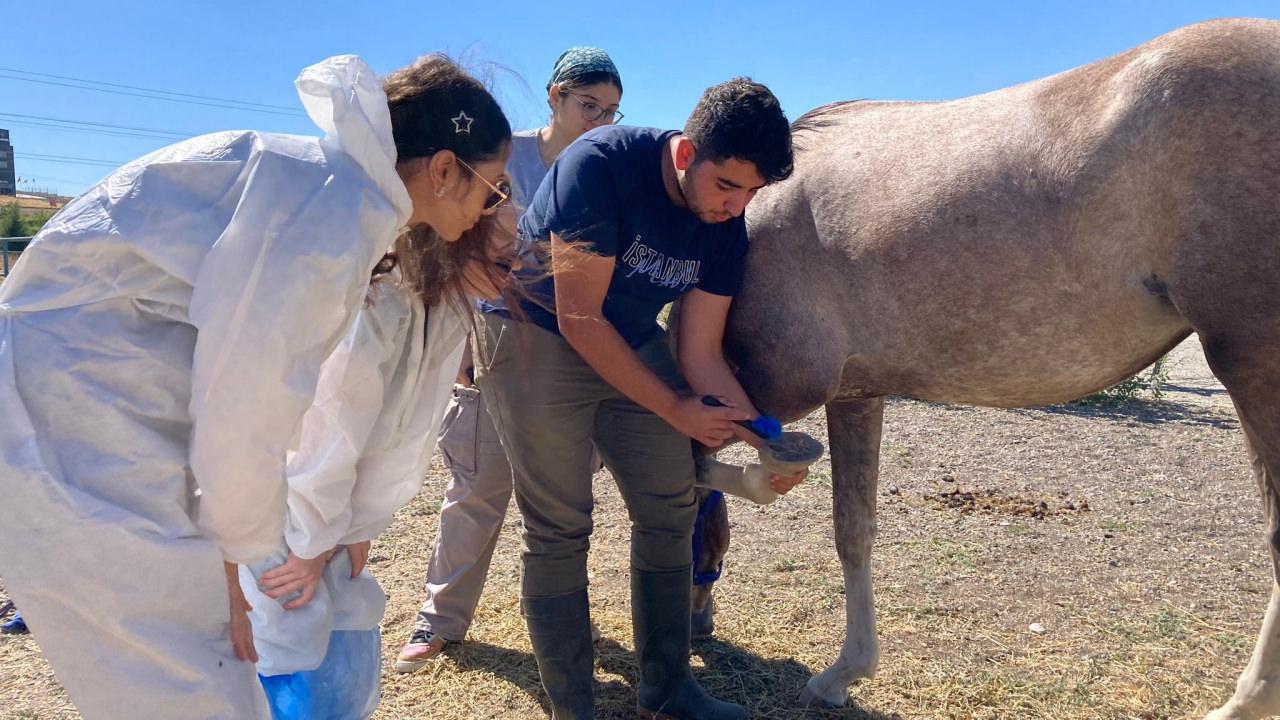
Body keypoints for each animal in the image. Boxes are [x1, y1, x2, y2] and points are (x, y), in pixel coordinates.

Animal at [696, 16, 1280, 717]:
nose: (700, 628)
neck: (751, 220)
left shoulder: (780, 384)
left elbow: (710, 465)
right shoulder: (855, 394)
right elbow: (852, 529)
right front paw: (845, 672)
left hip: (1254, 368)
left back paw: (1241, 703)